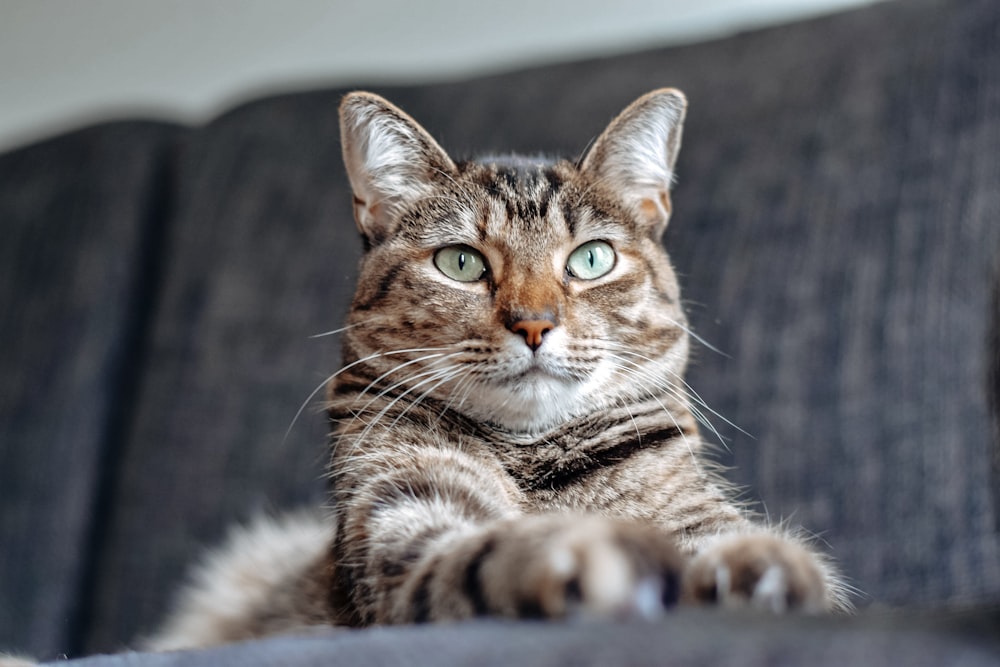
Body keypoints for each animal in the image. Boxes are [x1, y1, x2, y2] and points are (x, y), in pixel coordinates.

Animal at [146, 87, 852, 652]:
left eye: (592, 258)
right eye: (460, 262)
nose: (534, 324)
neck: (532, 455)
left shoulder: (690, 513)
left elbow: (741, 548)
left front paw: (766, 567)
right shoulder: (402, 516)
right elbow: (476, 555)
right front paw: (587, 554)